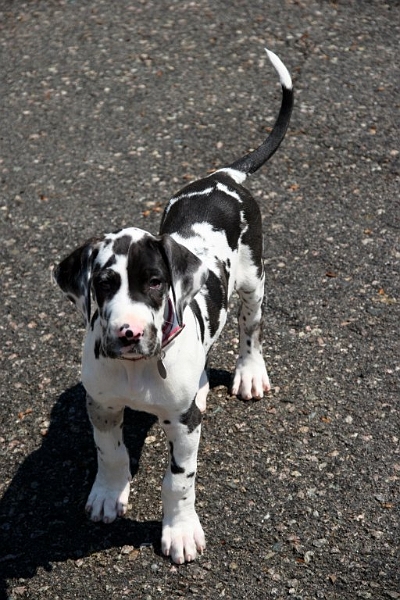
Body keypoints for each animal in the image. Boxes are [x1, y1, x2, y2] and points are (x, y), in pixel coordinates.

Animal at [54, 49, 294, 564]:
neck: (138, 370)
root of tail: (224, 176)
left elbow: (179, 481)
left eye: (154, 282)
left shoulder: (183, 428)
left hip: (254, 282)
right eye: (103, 283)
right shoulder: (101, 404)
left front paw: (180, 531)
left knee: (250, 330)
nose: (127, 333)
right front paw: (108, 494)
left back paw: (249, 373)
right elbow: (110, 454)